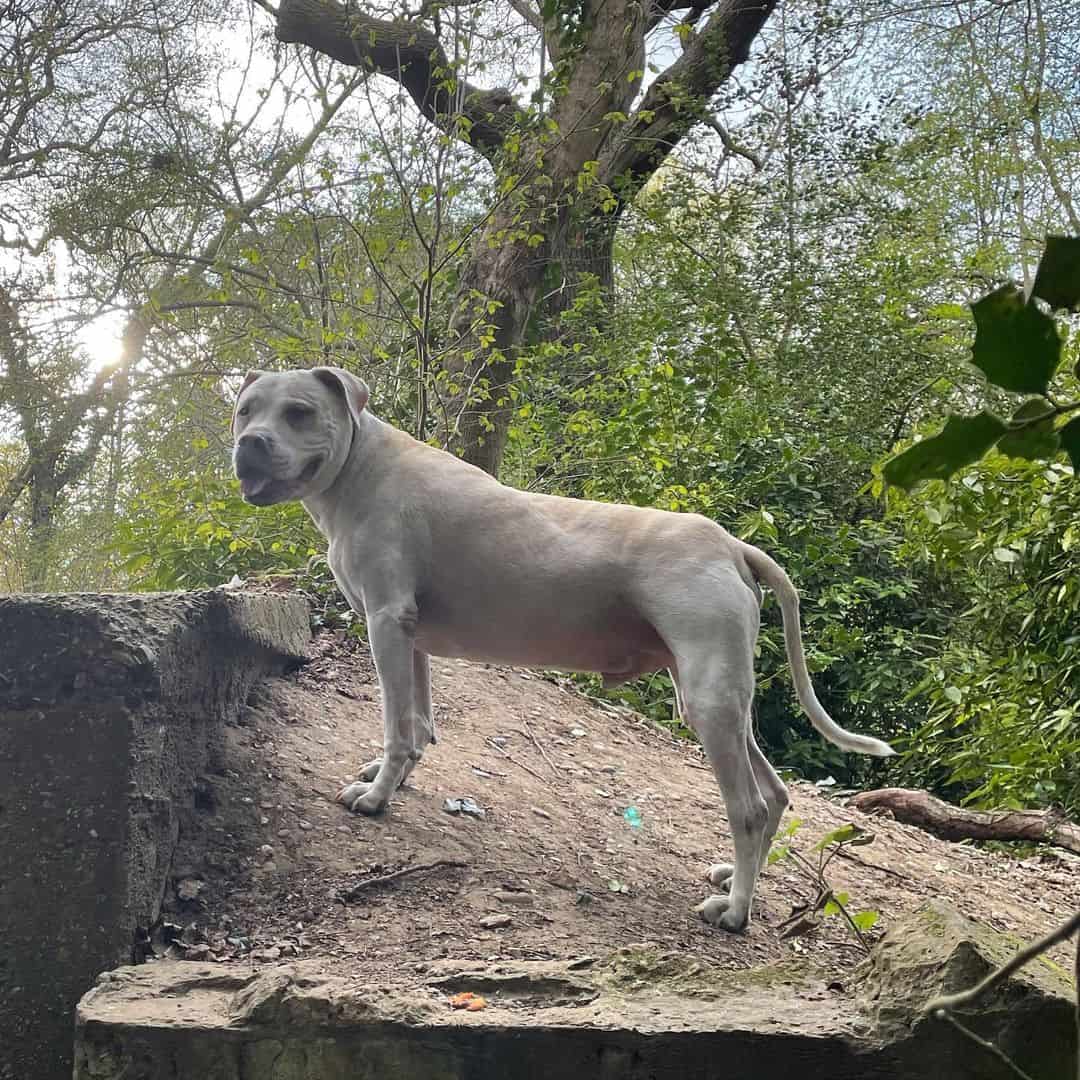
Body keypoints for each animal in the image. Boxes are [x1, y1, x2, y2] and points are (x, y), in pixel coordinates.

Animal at [230, 369, 894, 928]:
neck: (357, 470)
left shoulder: (386, 624)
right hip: (714, 701)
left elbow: (396, 726)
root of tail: (734, 545)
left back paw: (734, 912)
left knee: (749, 808)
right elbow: (416, 724)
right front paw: (389, 778)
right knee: (774, 794)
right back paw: (734, 878)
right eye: (245, 411)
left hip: (709, 703)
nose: (250, 444)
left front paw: (375, 799)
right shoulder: (409, 637)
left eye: (298, 413)